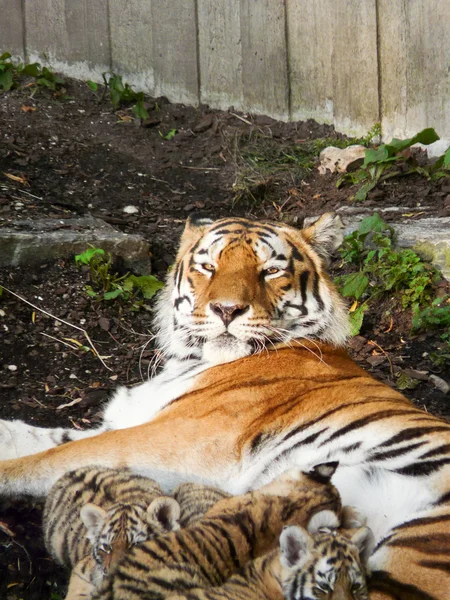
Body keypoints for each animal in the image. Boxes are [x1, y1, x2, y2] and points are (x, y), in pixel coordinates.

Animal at [0, 213, 450, 596]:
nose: (227, 310)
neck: (191, 359)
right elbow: (39, 439)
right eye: (208, 267)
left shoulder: (171, 439)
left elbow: (51, 458)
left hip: (416, 551)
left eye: (271, 271)